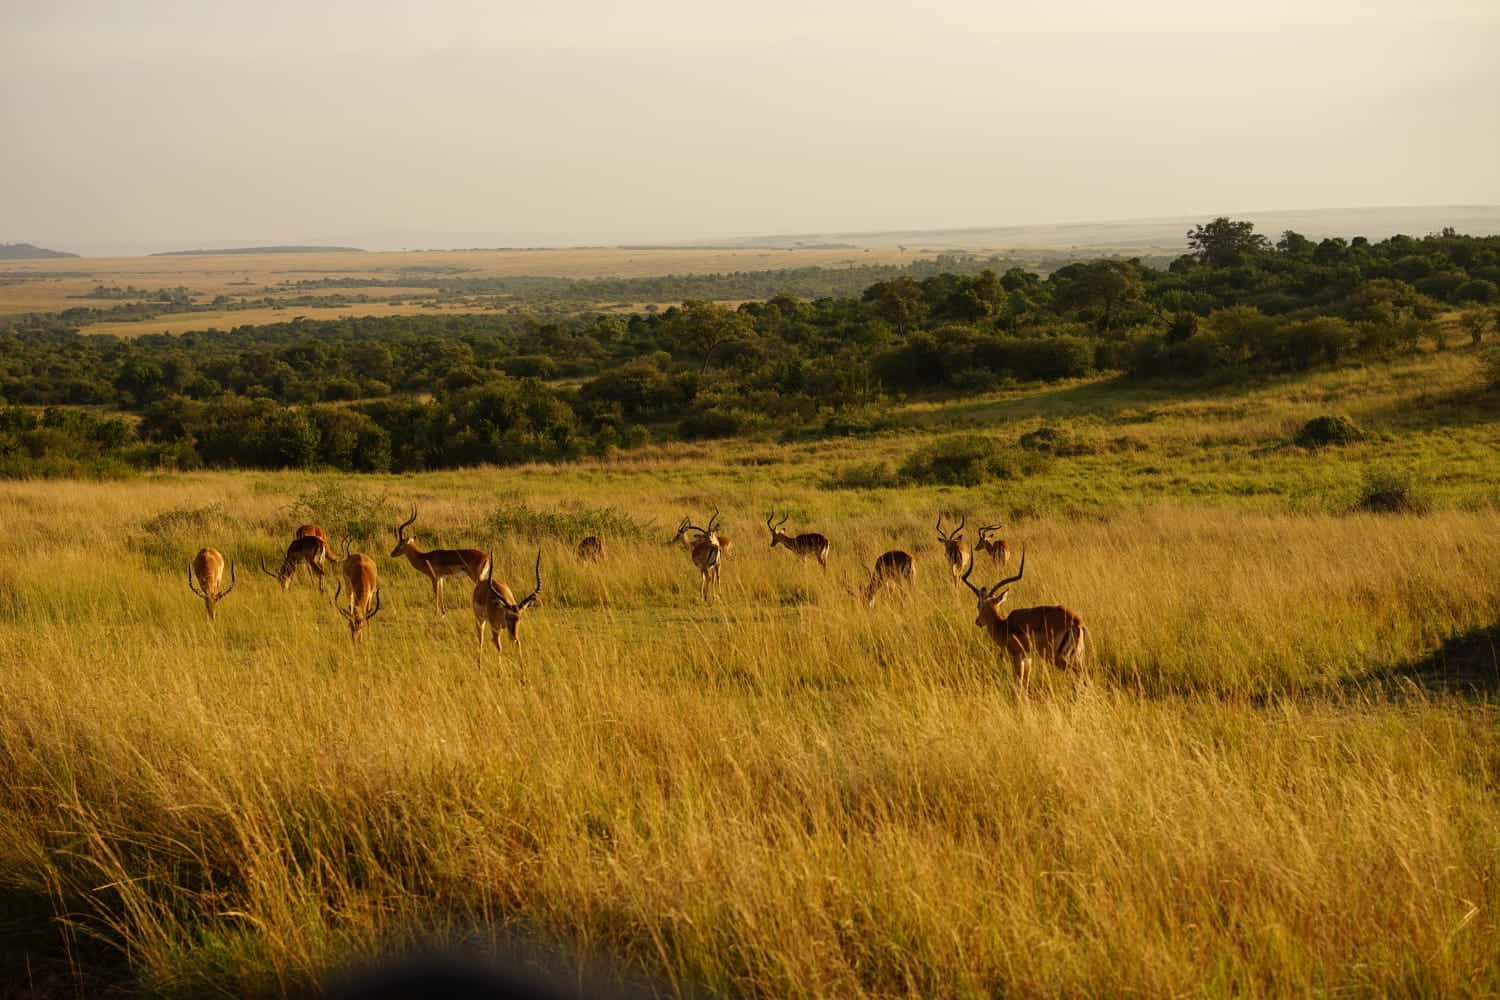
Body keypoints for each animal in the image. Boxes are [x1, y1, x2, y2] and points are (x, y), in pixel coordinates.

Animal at [966, 551, 1086, 692]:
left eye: (979, 605)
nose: (978, 621)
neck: (1003, 625)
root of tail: (1076, 622)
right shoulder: (1028, 658)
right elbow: (1025, 683)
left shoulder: (1017, 657)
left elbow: (1018, 684)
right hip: (1076, 657)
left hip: (1055, 657)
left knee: (1077, 674)